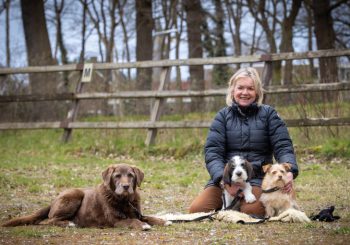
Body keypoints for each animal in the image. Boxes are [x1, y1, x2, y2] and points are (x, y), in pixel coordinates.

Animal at [1, 165, 168, 230]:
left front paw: (163, 221)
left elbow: (148, 217)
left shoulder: (137, 213)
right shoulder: (116, 221)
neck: (125, 200)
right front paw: (144, 226)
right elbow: (133, 220)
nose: (126, 186)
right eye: (117, 176)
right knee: (49, 220)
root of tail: (53, 201)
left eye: (131, 175)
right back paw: (69, 223)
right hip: (74, 195)